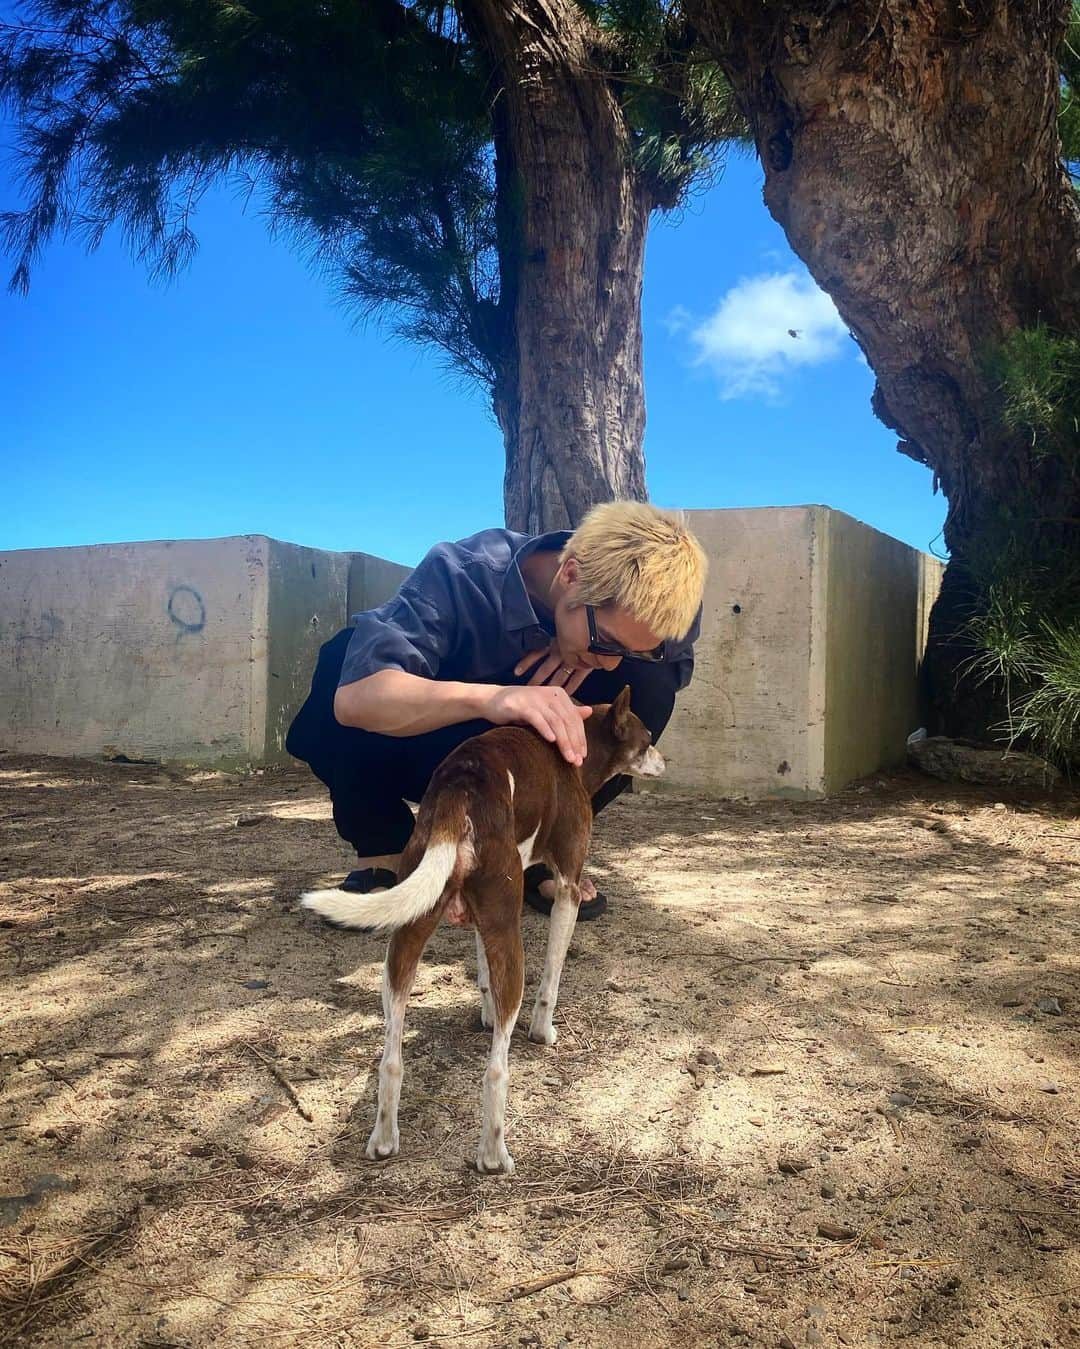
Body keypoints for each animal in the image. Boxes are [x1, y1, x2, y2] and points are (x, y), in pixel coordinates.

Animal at [299, 690, 660, 1176]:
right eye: (647, 738)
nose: (663, 760)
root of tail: (459, 790)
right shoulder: (566, 888)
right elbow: (552, 977)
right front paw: (543, 1031)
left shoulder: (482, 920)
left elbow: (484, 977)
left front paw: (486, 1013)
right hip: (507, 933)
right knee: (496, 1070)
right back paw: (493, 1154)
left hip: (408, 939)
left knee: (391, 1058)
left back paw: (384, 1138)